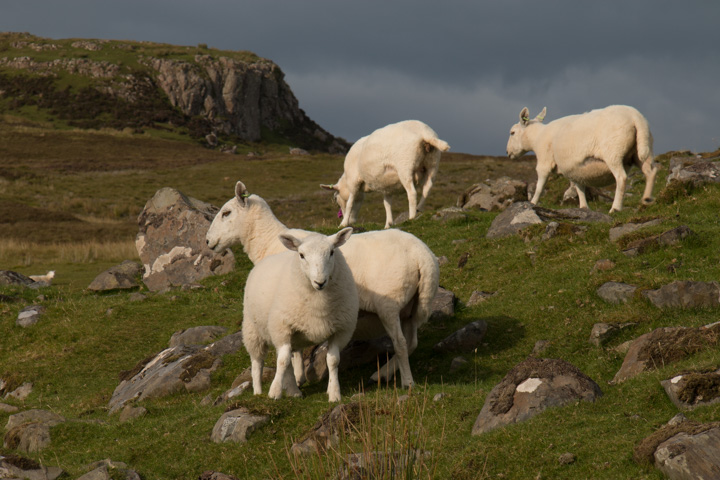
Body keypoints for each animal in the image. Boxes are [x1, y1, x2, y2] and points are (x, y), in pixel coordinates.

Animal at [242, 228, 358, 402]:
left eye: (332, 252)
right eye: (301, 255)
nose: (320, 282)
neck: (319, 303)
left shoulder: (341, 330)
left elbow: (333, 361)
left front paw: (334, 393)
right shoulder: (282, 327)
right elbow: (282, 361)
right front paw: (274, 392)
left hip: (295, 335)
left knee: (292, 356)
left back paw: (293, 389)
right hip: (253, 330)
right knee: (257, 362)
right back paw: (258, 391)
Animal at [322, 119, 450, 229]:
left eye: (337, 200)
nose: (352, 222)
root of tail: (424, 133)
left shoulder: (353, 181)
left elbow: (350, 202)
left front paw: (343, 224)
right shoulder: (387, 187)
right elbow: (387, 204)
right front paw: (388, 224)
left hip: (405, 167)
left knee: (412, 193)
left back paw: (412, 217)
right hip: (432, 164)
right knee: (427, 189)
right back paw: (419, 209)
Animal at [506, 106, 660, 213]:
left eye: (512, 132)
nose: (507, 153)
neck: (536, 137)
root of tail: (636, 117)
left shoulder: (544, 162)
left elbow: (539, 187)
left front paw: (532, 203)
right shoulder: (574, 170)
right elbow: (579, 188)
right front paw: (584, 207)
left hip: (613, 153)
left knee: (621, 177)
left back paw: (615, 208)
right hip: (641, 150)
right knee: (651, 172)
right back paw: (646, 200)